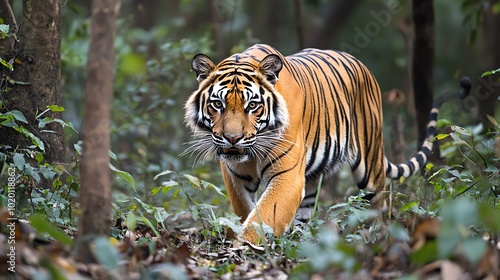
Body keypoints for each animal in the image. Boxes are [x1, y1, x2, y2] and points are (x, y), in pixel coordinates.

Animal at [183, 43, 468, 243]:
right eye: (217, 104)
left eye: (252, 105)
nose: (232, 139)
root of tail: (363, 66)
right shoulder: (236, 174)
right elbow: (246, 211)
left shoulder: (287, 175)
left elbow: (263, 216)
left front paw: (244, 247)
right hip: (311, 180)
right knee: (305, 212)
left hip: (370, 166)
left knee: (381, 206)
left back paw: (382, 238)